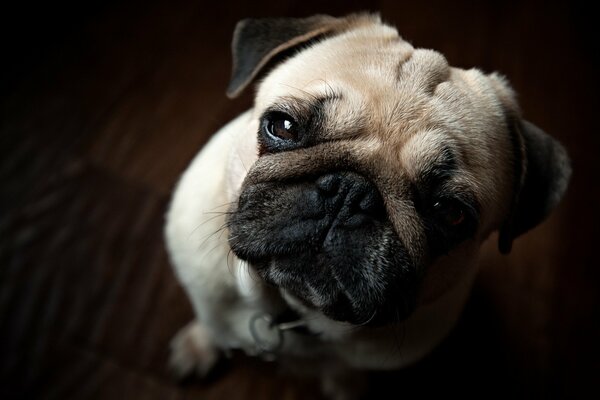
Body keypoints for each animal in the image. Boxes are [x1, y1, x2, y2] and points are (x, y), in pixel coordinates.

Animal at [165, 13, 572, 400]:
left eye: (450, 213)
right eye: (282, 126)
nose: (349, 193)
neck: (295, 312)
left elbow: (344, 371)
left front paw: (346, 386)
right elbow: (213, 323)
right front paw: (200, 345)